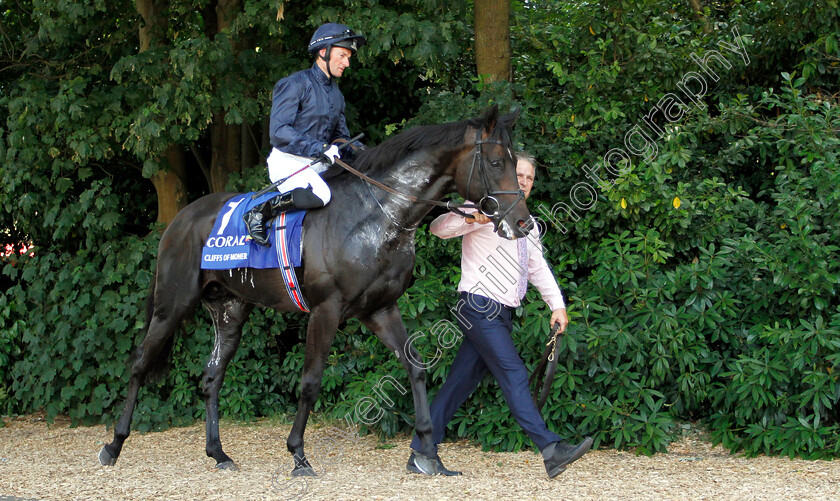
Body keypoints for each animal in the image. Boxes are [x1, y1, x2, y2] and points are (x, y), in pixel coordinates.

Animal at [100, 106, 532, 476]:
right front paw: (297, 454)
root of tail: (180, 220)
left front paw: (429, 454)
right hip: (172, 304)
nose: (523, 223)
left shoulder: (380, 309)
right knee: (139, 365)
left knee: (212, 378)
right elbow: (310, 382)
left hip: (230, 311)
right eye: (497, 162)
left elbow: (416, 367)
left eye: (516, 164)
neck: (375, 216)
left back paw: (218, 453)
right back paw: (114, 445)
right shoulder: (326, 310)